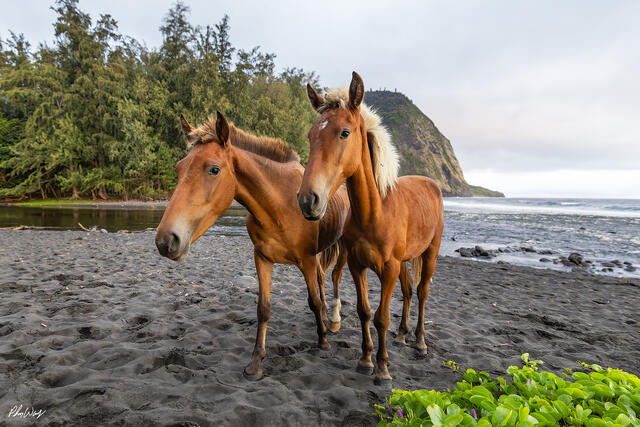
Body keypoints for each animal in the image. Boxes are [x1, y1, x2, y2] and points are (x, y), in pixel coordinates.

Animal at [155, 112, 351, 380]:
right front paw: (256, 361)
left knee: (334, 278)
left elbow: (313, 300)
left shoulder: (307, 259)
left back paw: (332, 321)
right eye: (178, 168)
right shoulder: (263, 258)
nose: (165, 240)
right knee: (322, 278)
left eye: (214, 169)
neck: (280, 205)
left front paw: (322, 341)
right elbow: (263, 309)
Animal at [297, 72, 444, 384]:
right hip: (405, 261)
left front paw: (383, 367)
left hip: (430, 254)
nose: (307, 199)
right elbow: (364, 312)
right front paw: (365, 360)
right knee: (409, 291)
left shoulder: (388, 268)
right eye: (311, 135)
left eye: (344, 132)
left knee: (422, 292)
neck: (375, 213)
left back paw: (420, 342)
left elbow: (381, 317)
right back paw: (402, 335)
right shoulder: (357, 265)